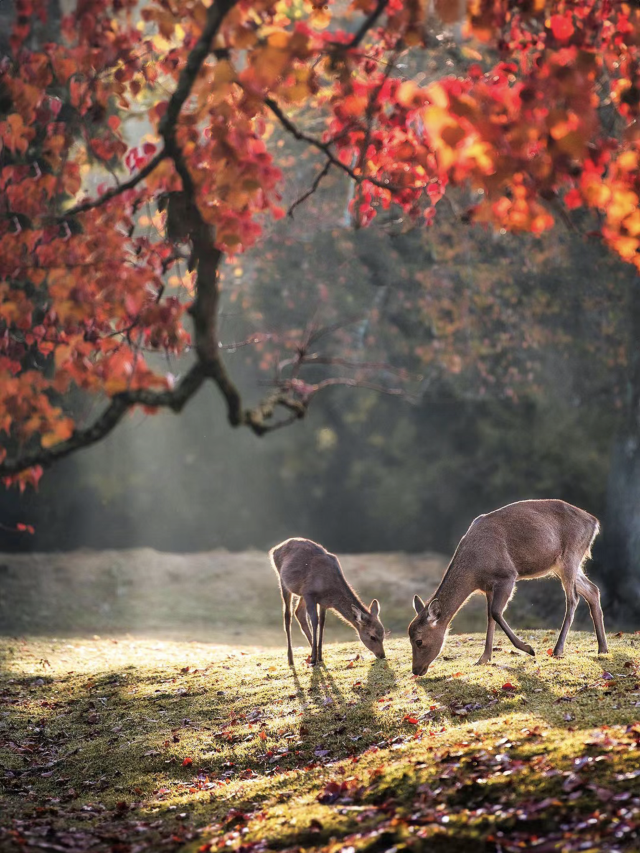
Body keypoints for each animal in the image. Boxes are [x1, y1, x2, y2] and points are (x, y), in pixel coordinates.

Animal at [408, 496, 608, 676]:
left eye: (419, 641)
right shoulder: (488, 587)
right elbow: (489, 617)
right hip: (562, 565)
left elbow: (496, 612)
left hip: (570, 555)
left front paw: (528, 648)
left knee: (573, 598)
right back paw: (603, 649)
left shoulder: (507, 576)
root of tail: (594, 522)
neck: (475, 571)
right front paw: (484, 658)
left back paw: (558, 649)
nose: (416, 670)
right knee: (593, 590)